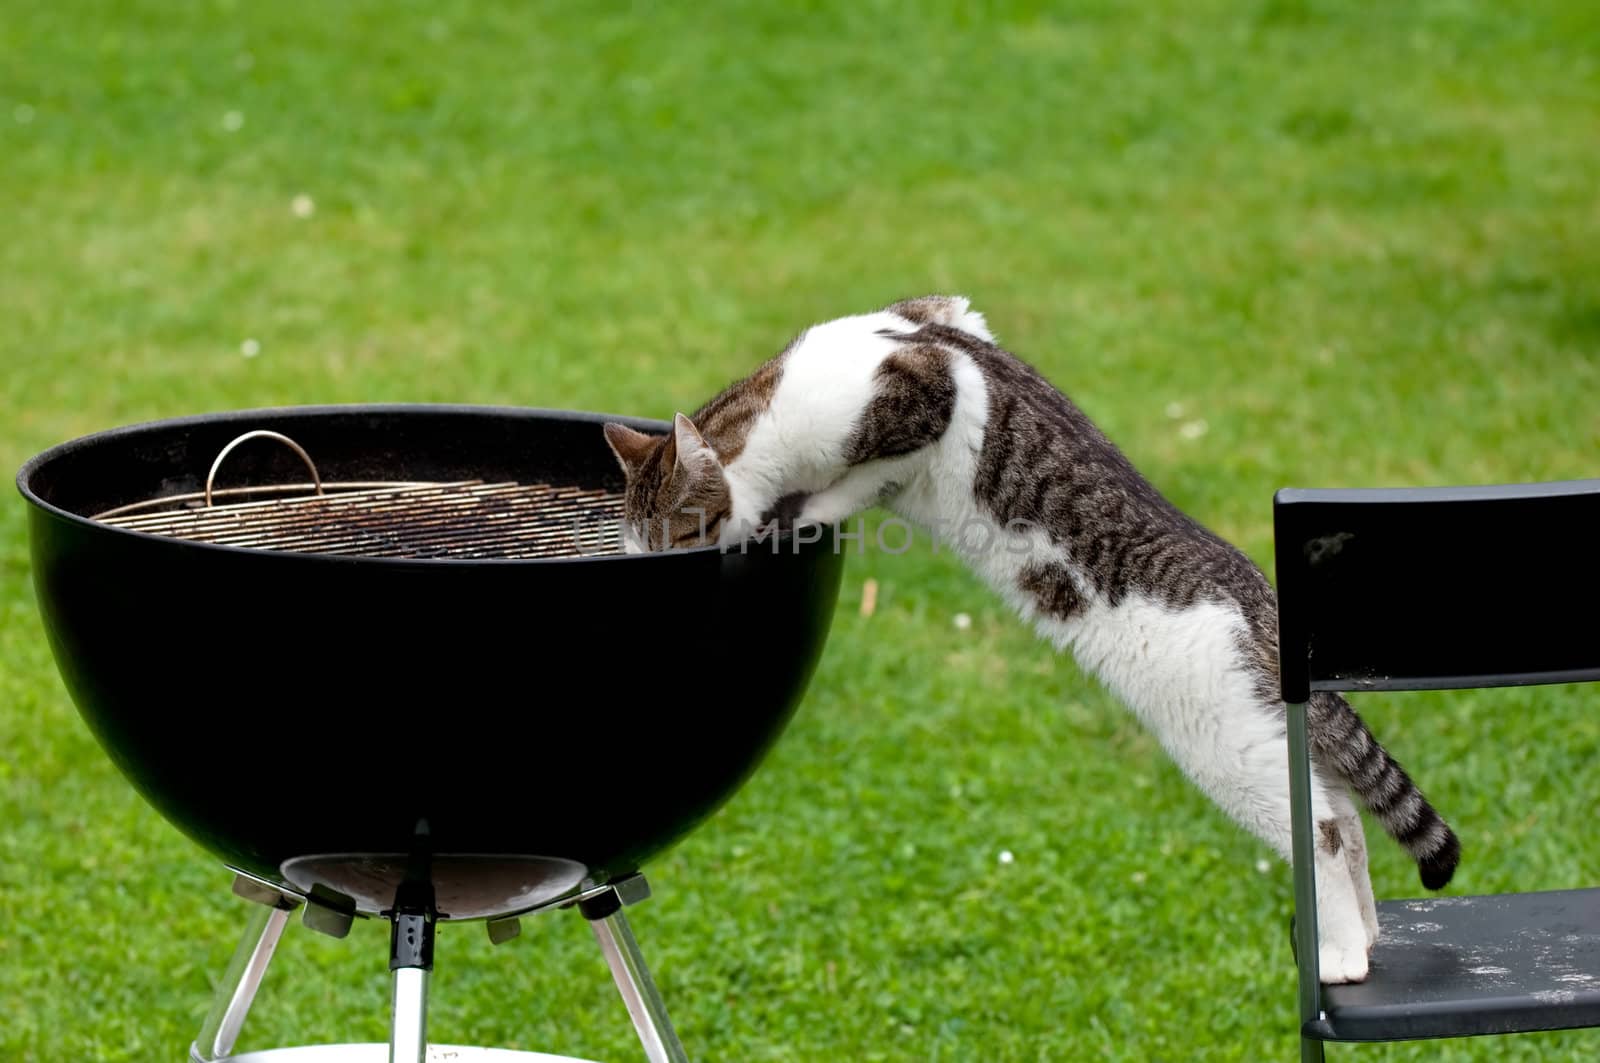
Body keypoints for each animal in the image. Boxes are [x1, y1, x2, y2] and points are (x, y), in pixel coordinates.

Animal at [601, 294, 1465, 986]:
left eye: (670, 540)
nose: (643, 573)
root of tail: (1258, 596)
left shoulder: (928, 389)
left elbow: (850, 480)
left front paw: (801, 509)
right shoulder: (948, 312)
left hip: (1223, 740)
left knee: (1322, 828)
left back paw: (1341, 955)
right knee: (1346, 816)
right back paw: (1367, 932)